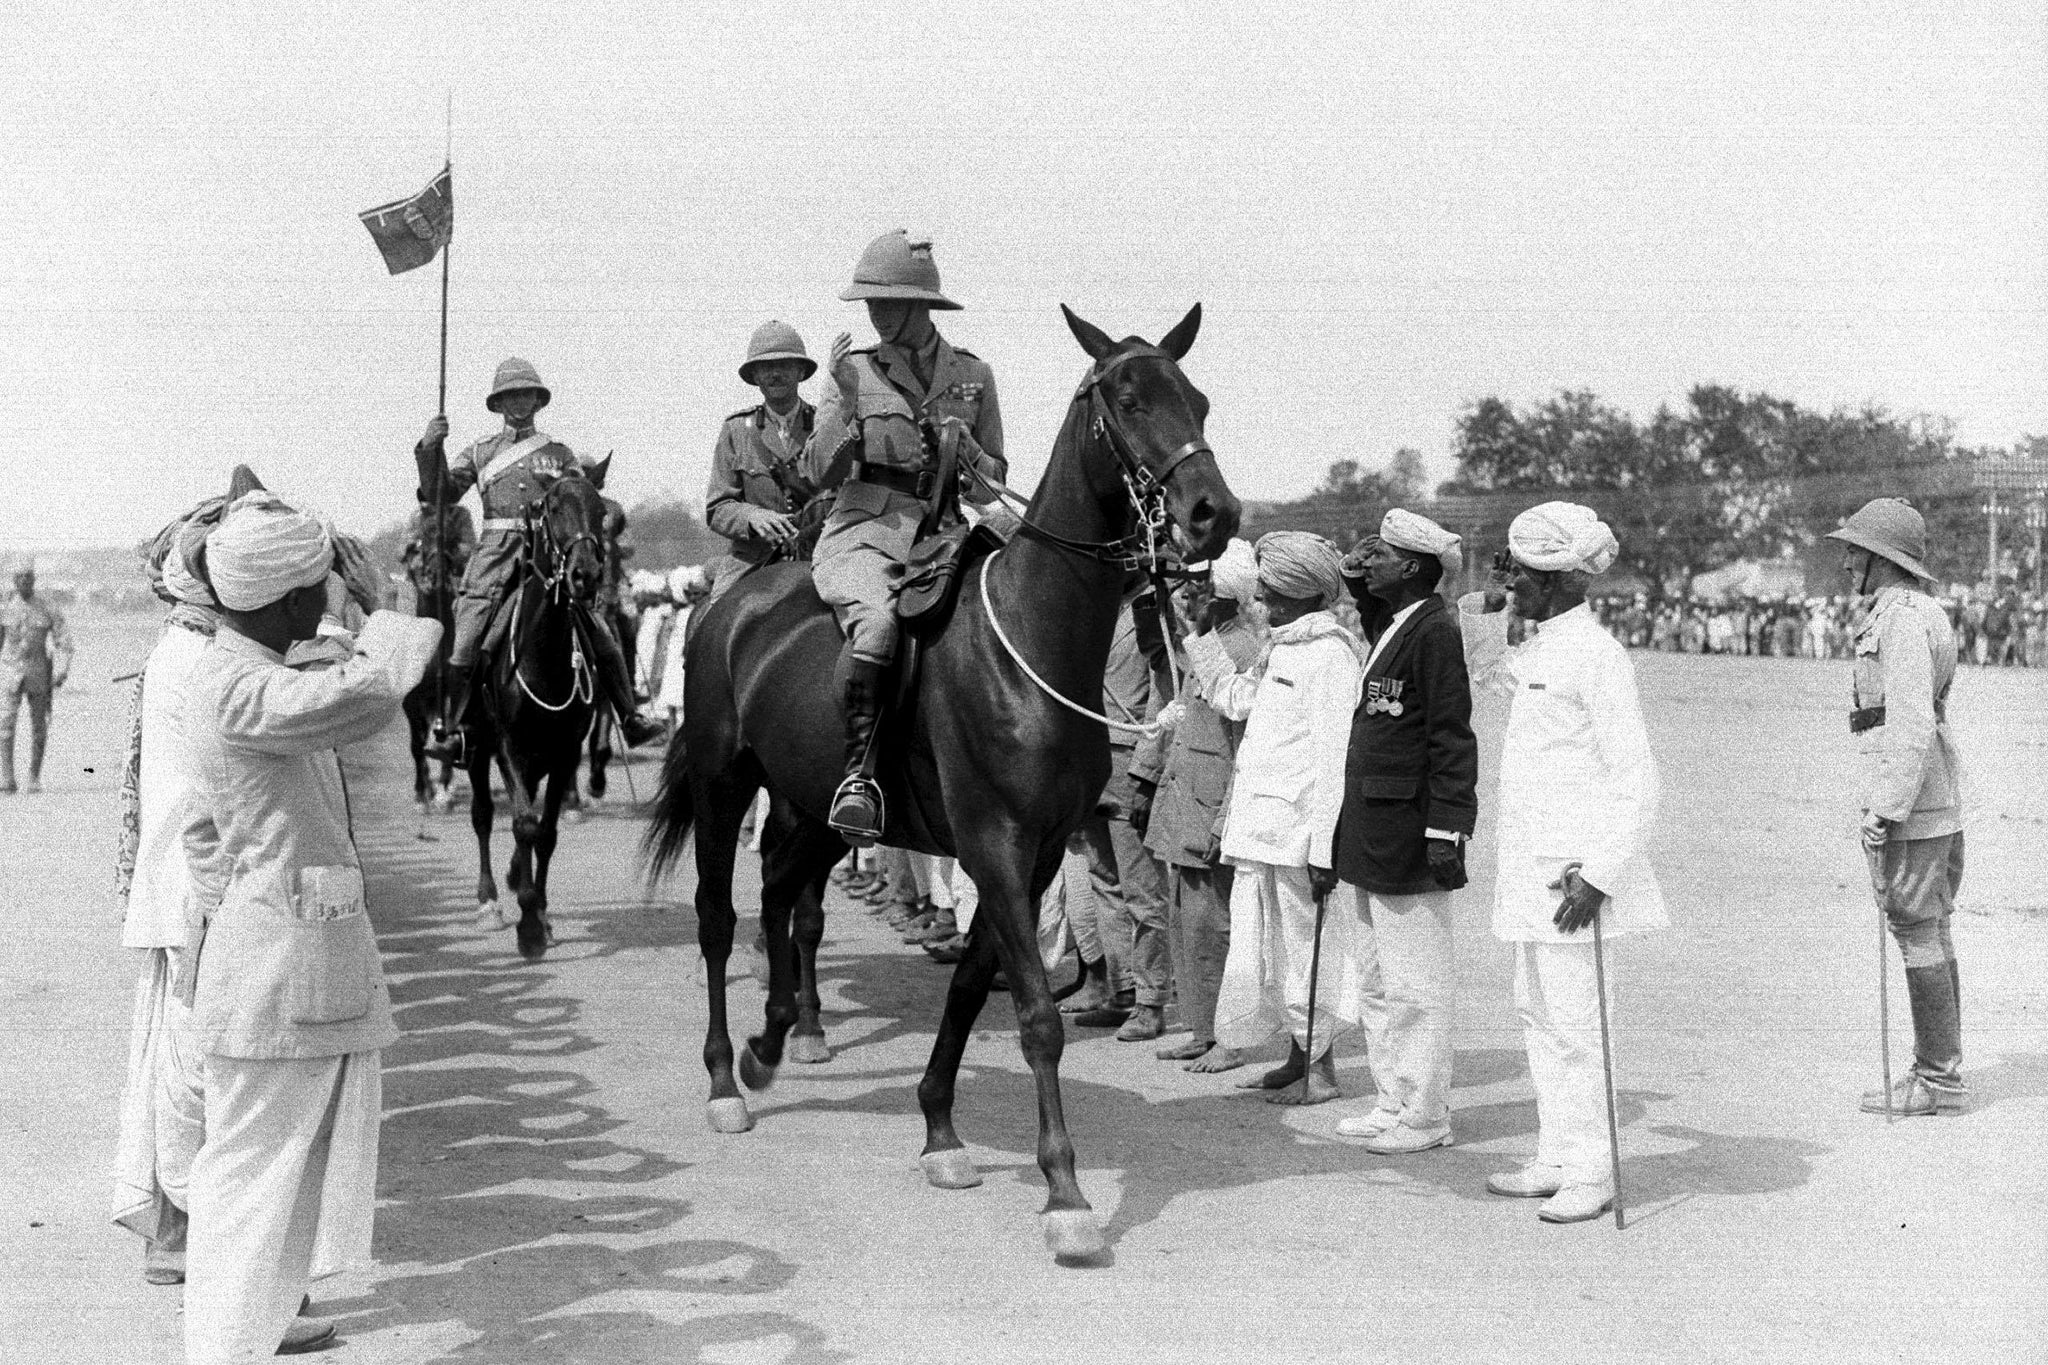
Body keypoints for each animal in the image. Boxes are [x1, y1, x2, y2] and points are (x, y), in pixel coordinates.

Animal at [468, 470, 606, 961]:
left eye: (602, 510)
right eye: (551, 508)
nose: (586, 575)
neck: (542, 655)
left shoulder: (565, 753)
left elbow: (544, 833)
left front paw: (540, 915)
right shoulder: (509, 747)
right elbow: (523, 824)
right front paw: (527, 925)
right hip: (478, 749)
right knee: (484, 814)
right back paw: (490, 899)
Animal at [647, 306, 1236, 1260]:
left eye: (1199, 397)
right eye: (1126, 395)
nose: (1213, 512)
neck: (1030, 642)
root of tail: (731, 603)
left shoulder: (1034, 855)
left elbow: (968, 988)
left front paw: (940, 1132)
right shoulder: (994, 844)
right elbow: (1035, 1014)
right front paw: (1065, 1192)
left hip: (818, 811)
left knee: (782, 900)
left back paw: (774, 1041)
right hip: (722, 785)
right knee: (718, 917)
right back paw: (724, 1080)